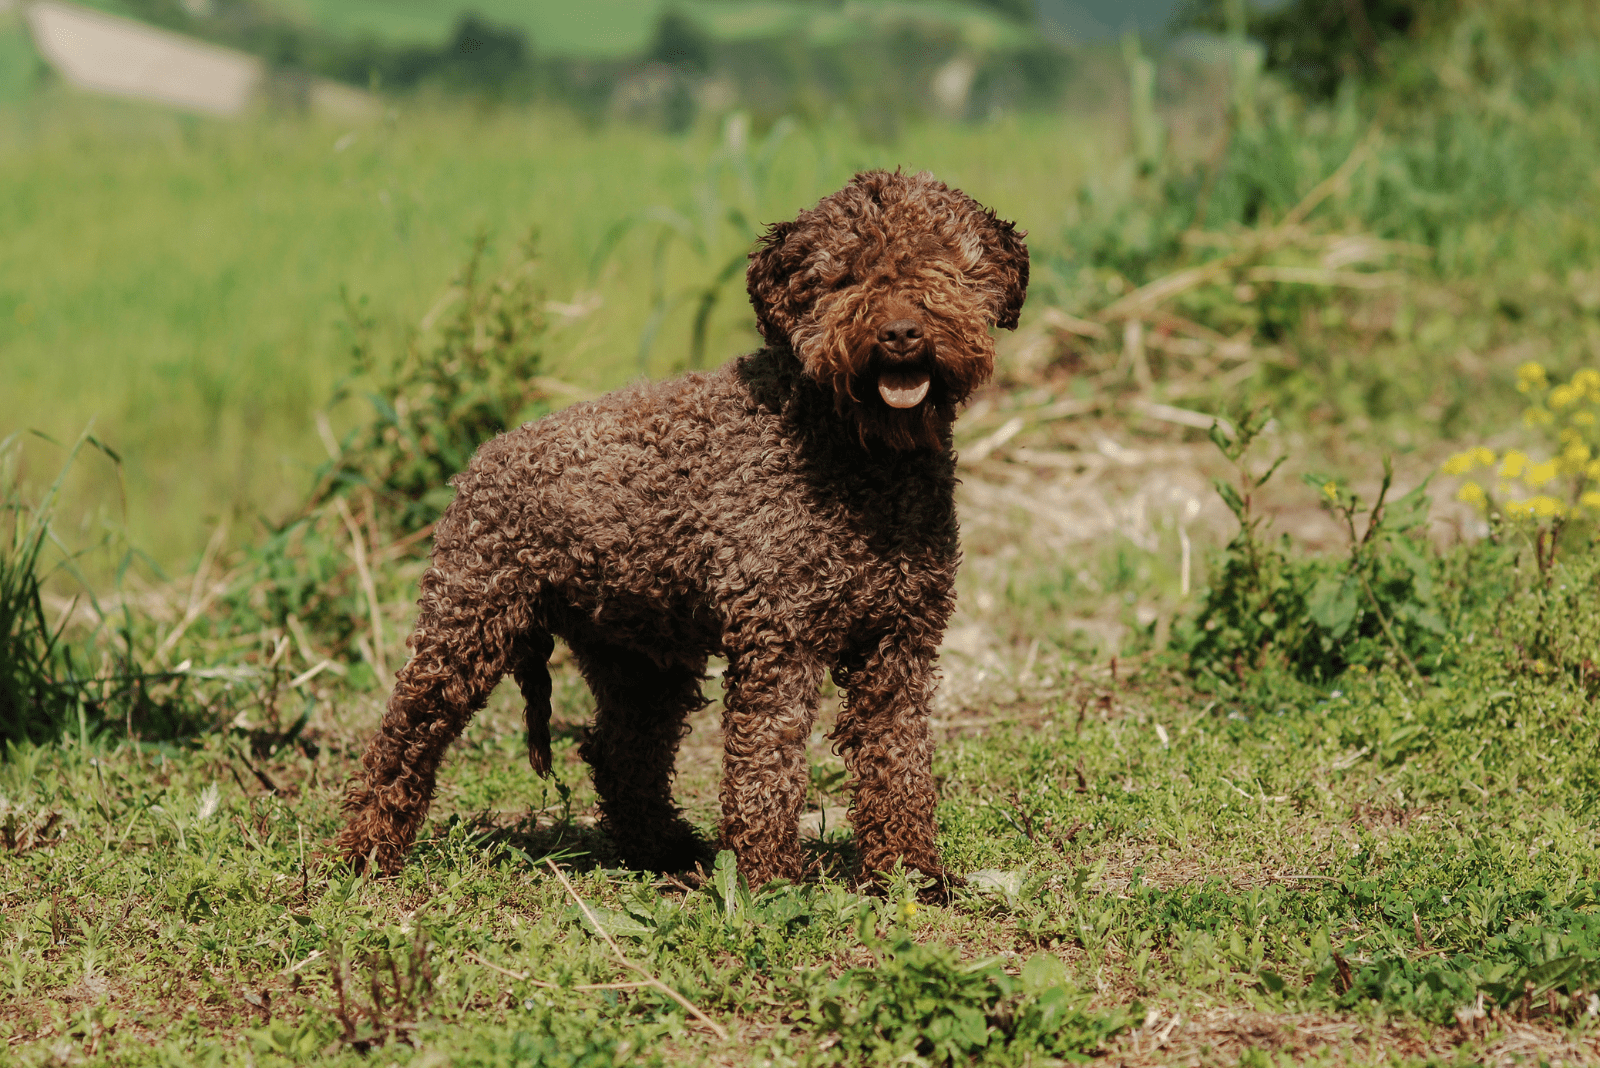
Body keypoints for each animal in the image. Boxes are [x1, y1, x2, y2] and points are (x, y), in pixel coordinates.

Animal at [339, 168, 1030, 895]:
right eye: (843, 276)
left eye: (943, 265)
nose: (900, 333)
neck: (855, 453)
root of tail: (482, 457)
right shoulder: (778, 641)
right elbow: (767, 766)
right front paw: (769, 884)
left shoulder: (900, 641)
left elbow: (900, 763)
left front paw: (910, 876)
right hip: (469, 622)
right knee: (403, 737)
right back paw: (362, 854)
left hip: (641, 655)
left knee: (620, 755)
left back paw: (666, 851)